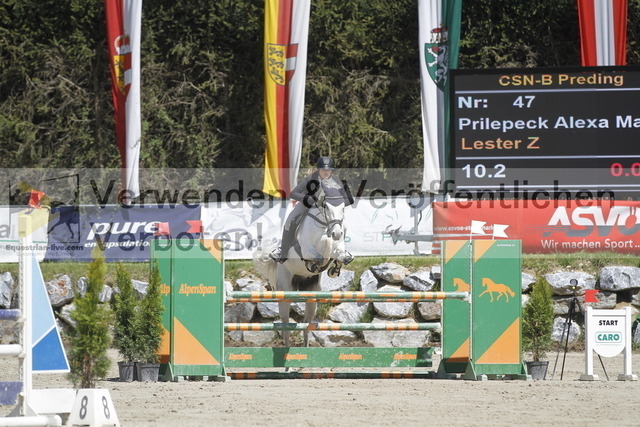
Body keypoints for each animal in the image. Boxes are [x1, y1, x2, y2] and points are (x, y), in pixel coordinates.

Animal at [254, 190, 352, 347]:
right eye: (326, 206)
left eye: (343, 208)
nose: (336, 233)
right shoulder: (307, 251)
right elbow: (320, 254)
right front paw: (317, 262)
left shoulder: (338, 248)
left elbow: (337, 254)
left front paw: (335, 267)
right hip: (284, 292)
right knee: (286, 327)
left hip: (312, 297)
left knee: (307, 325)